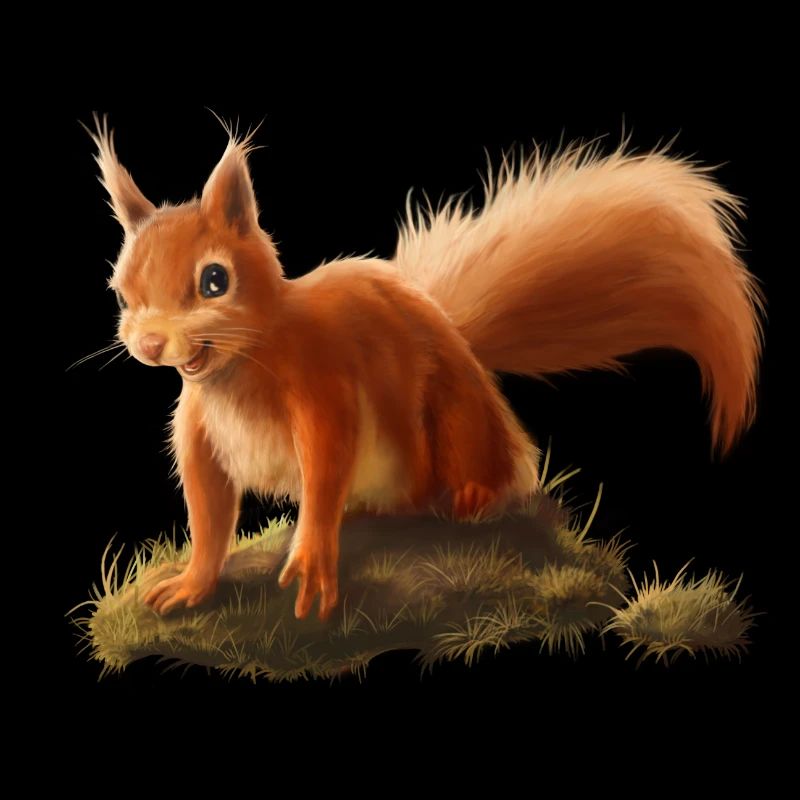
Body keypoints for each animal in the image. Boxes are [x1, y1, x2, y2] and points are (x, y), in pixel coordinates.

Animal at [85, 116, 763, 621]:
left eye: (214, 280)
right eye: (121, 291)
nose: (151, 344)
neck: (238, 368)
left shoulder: (323, 386)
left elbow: (326, 464)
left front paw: (311, 557)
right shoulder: (198, 433)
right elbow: (208, 512)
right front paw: (192, 584)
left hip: (456, 419)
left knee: (494, 469)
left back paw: (472, 495)